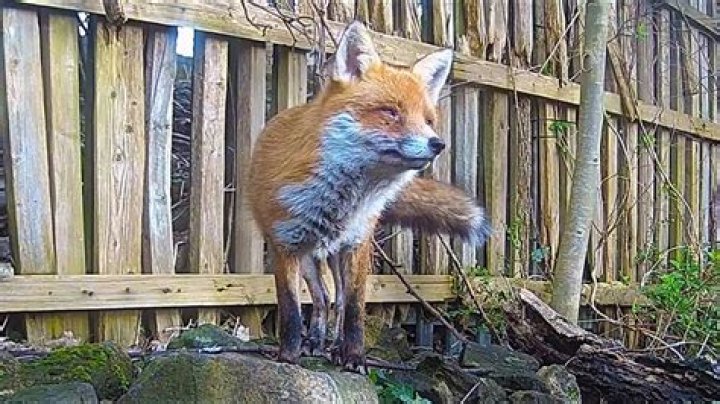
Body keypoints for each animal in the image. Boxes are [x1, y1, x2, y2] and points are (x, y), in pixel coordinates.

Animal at [247, 21, 491, 371]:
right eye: (390, 112)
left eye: (428, 120)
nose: (437, 144)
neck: (339, 201)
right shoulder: (284, 245)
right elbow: (291, 311)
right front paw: (288, 358)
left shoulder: (357, 243)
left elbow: (354, 308)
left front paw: (354, 356)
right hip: (310, 257)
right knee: (322, 299)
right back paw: (315, 342)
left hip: (336, 254)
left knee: (336, 300)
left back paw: (333, 347)